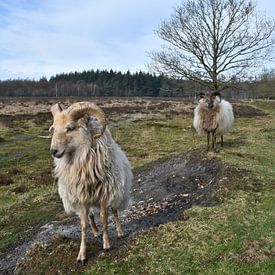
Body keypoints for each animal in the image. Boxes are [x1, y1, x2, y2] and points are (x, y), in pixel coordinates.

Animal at [50, 102, 133, 266]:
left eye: (70, 127)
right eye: (54, 128)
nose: (53, 151)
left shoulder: (105, 196)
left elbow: (104, 219)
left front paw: (106, 245)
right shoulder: (81, 198)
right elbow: (83, 226)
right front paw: (82, 255)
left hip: (116, 192)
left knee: (115, 212)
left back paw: (120, 232)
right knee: (91, 217)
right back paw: (95, 232)